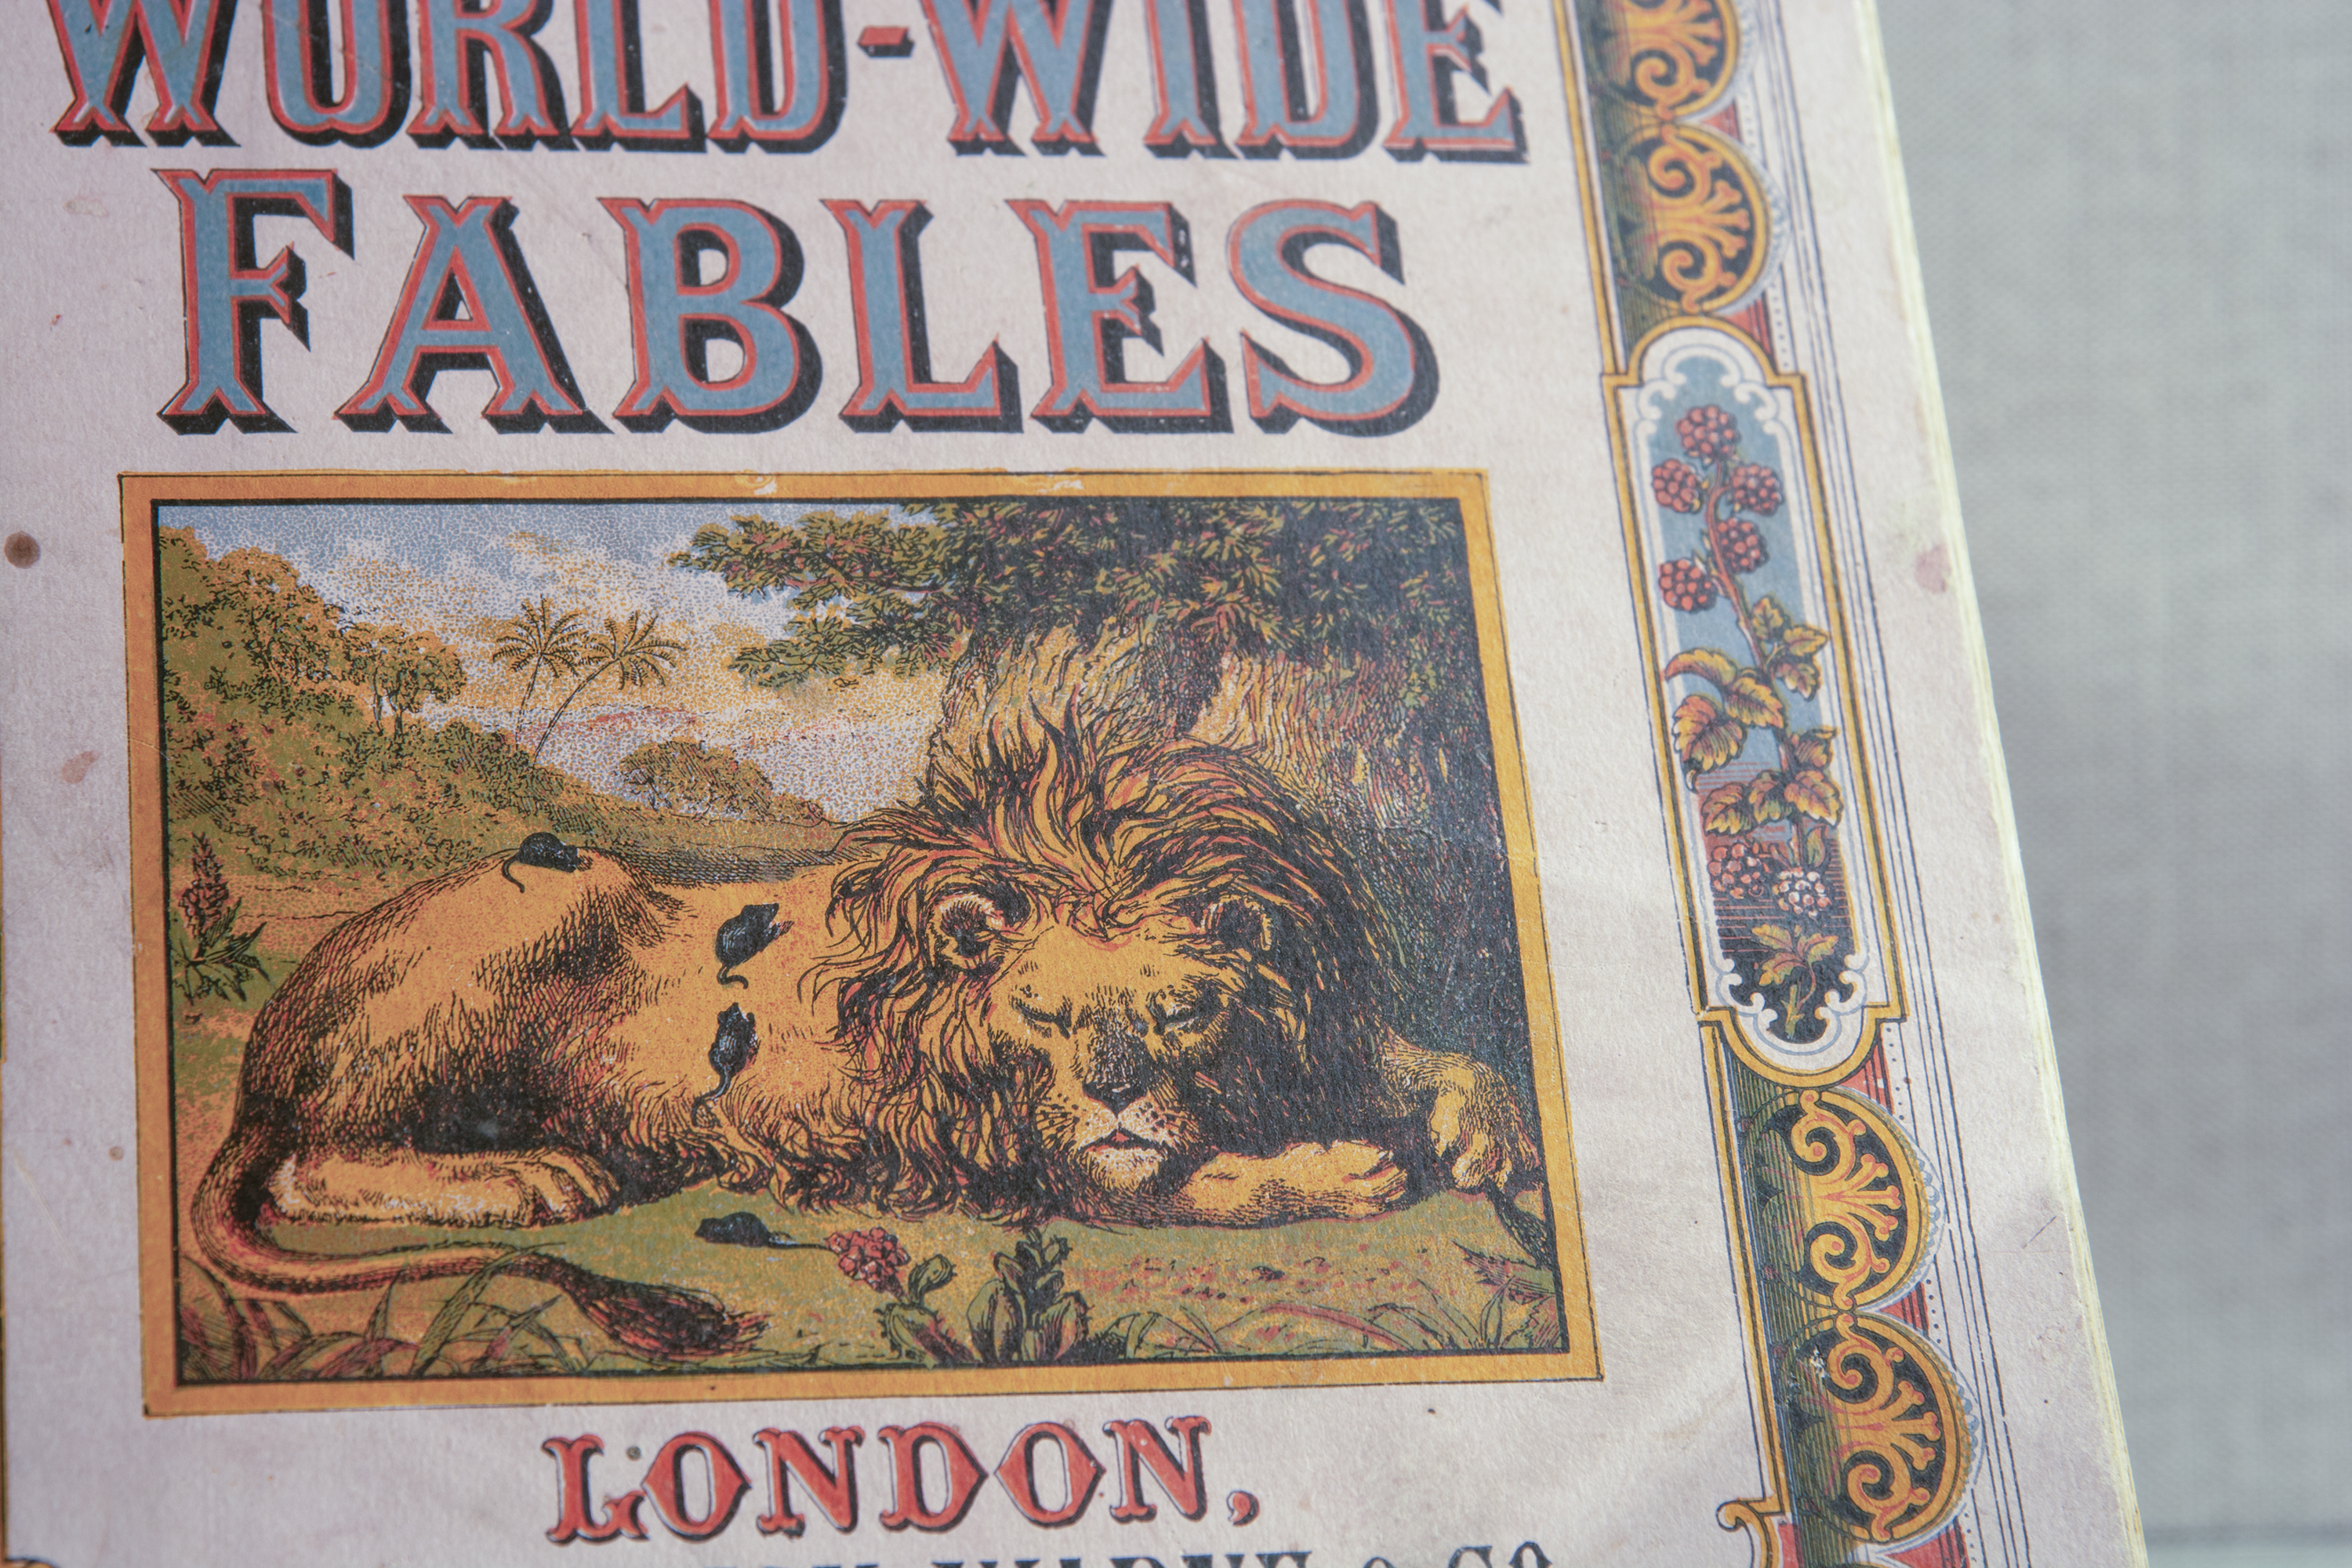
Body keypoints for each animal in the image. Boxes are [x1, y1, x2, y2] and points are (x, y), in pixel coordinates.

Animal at [192, 721, 1540, 1360]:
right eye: (1043, 1012)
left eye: (1181, 1009)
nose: (1114, 1094)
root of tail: (268, 1051)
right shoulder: (980, 1150)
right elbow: (1180, 1185)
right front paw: (1341, 1168)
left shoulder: (1298, 1024)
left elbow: (1414, 1056)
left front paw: (1491, 1132)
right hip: (539, 911)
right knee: (312, 1160)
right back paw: (534, 1173)